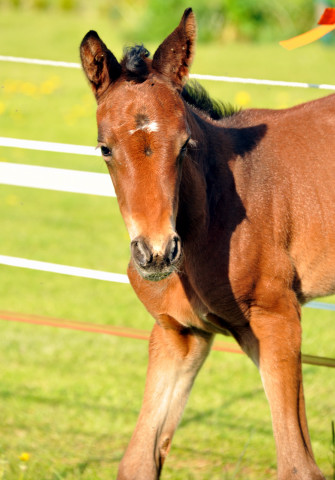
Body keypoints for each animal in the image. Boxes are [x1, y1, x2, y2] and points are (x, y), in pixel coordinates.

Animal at [80, 8, 334, 480]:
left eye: (185, 145)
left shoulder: (277, 319)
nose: (156, 253)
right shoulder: (180, 333)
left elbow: (297, 465)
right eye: (105, 148)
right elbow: (139, 460)